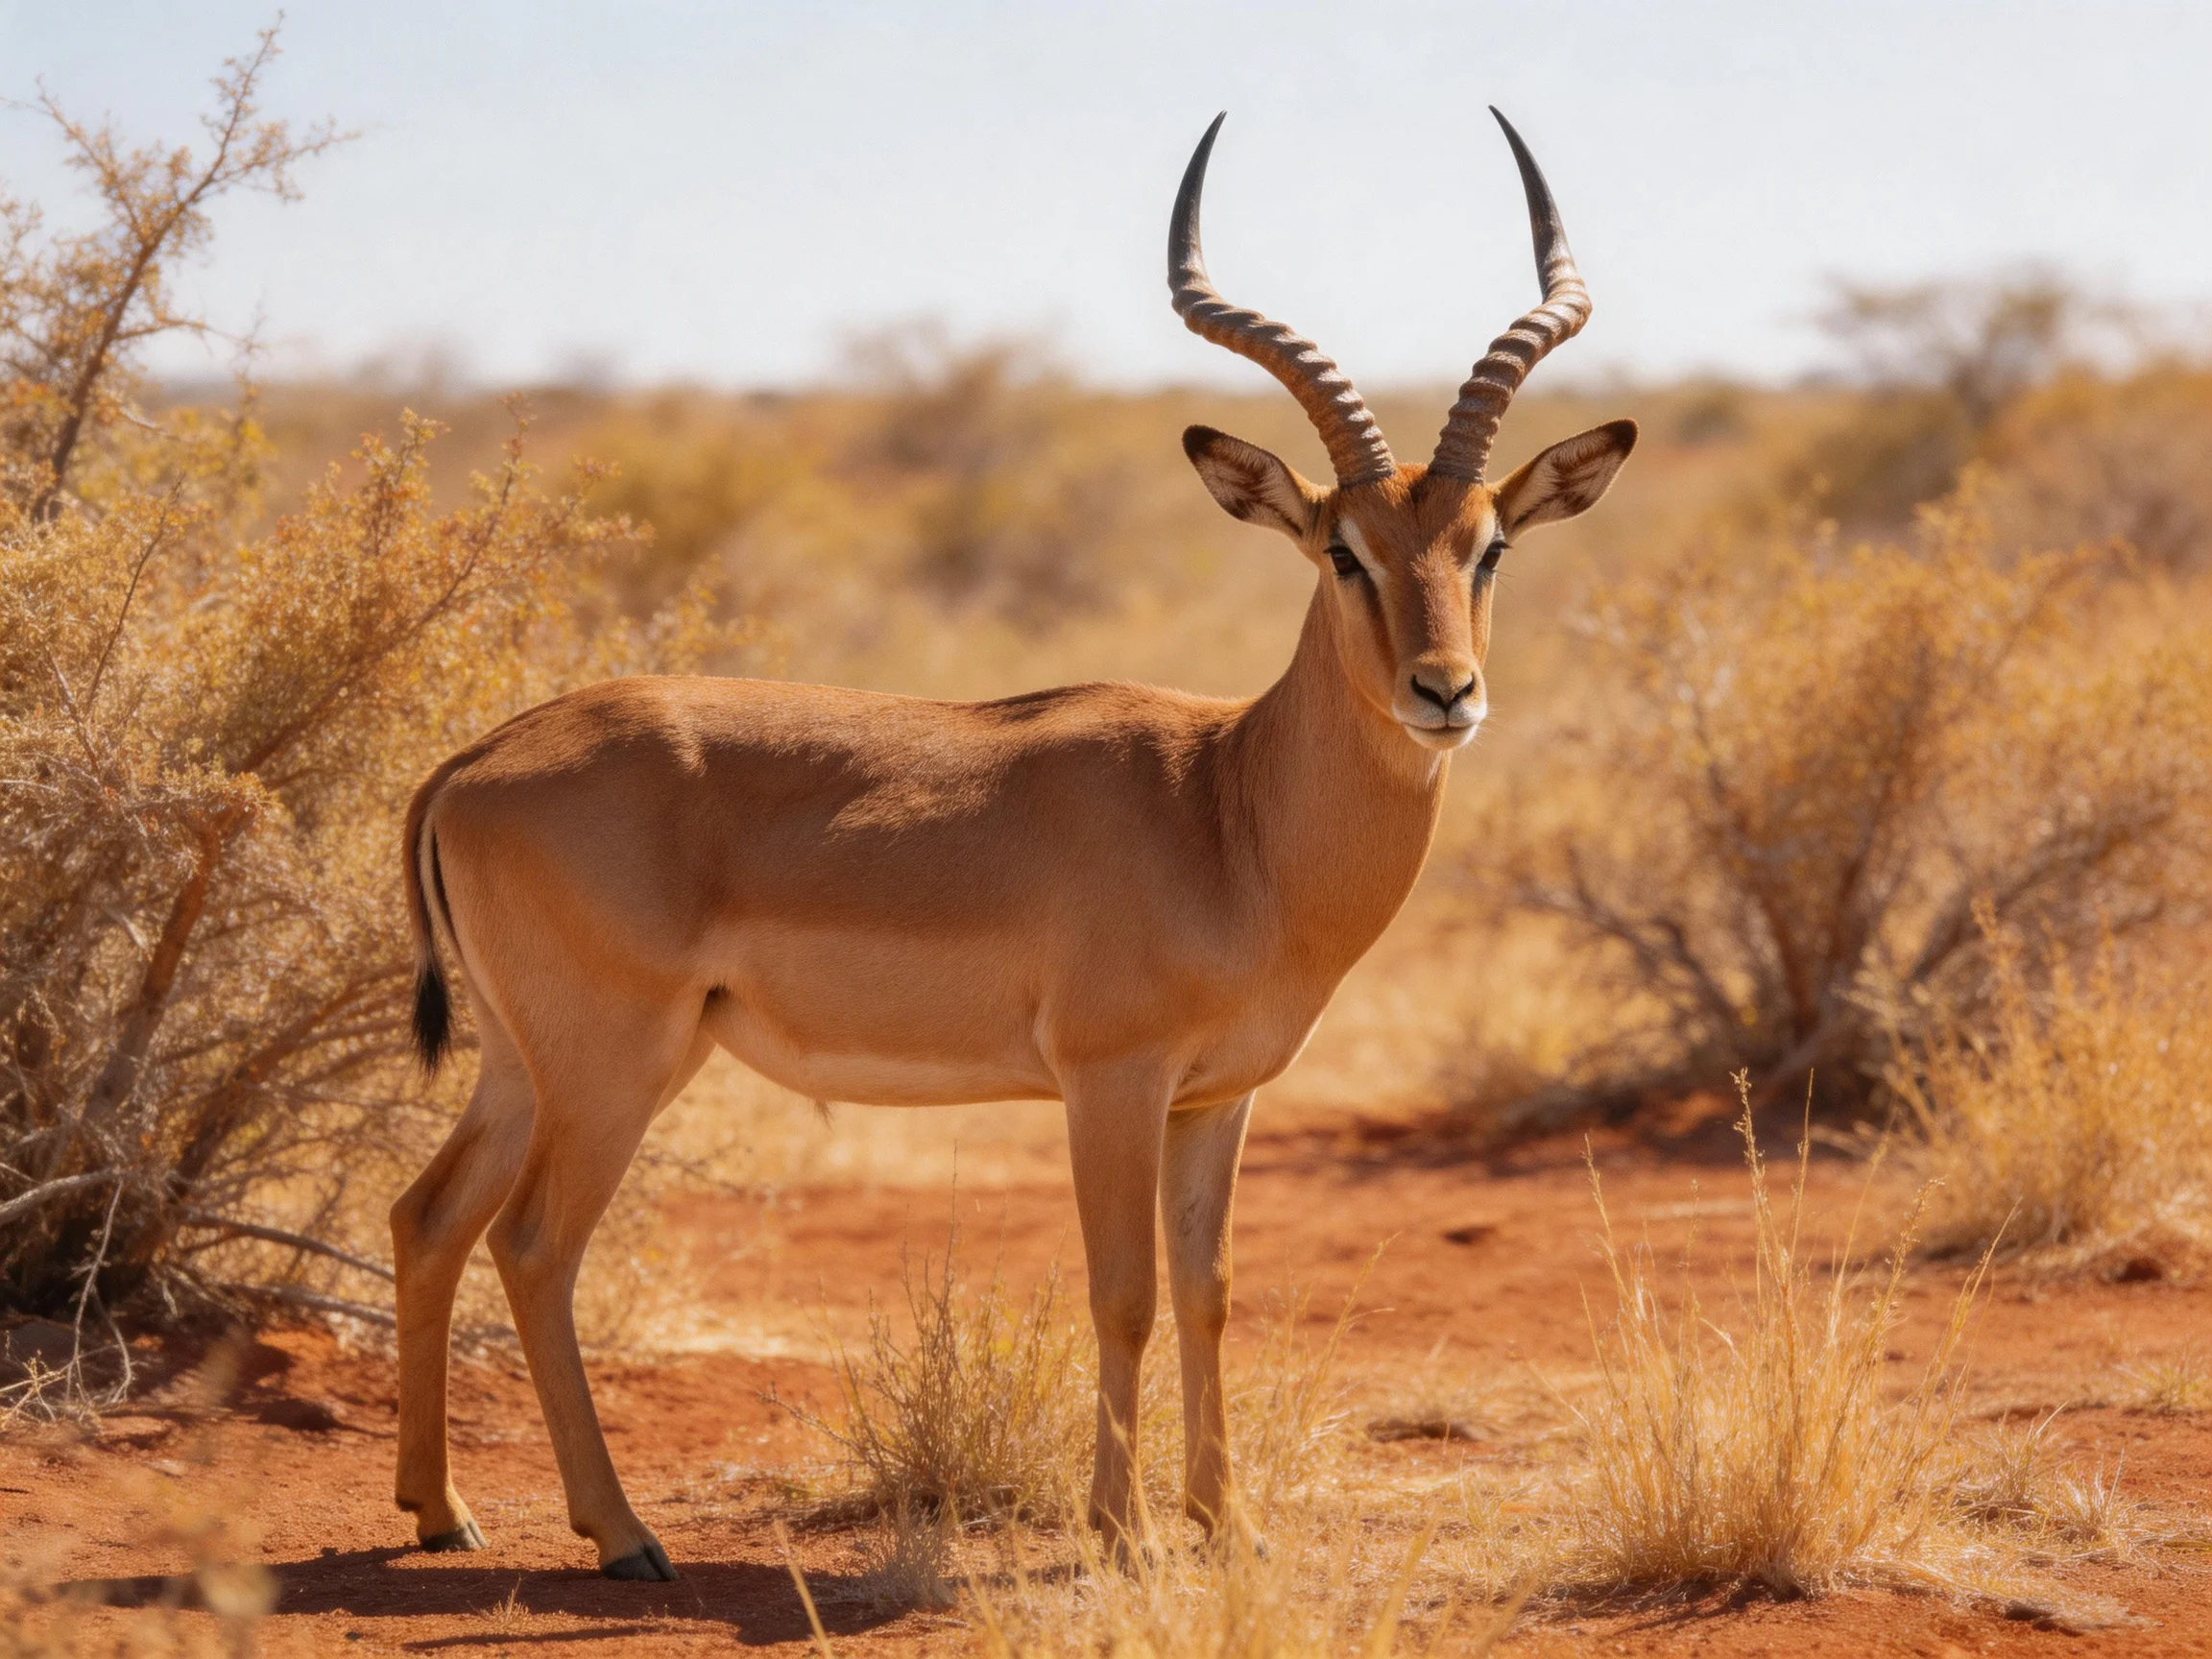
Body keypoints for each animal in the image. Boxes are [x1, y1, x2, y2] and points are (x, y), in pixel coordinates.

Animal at [388, 107, 1635, 1580]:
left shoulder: (1219, 1098)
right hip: (613, 1064)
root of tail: (471, 763)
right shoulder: (1111, 1081)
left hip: (525, 1061)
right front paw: (1125, 1536)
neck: (1228, 814)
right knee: (533, 1245)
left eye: (1489, 546)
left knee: (428, 1217)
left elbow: (1210, 1292)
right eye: (1343, 551)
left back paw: (441, 1512)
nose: (1446, 691)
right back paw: (622, 1535)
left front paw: (1228, 1526)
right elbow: (1124, 1293)